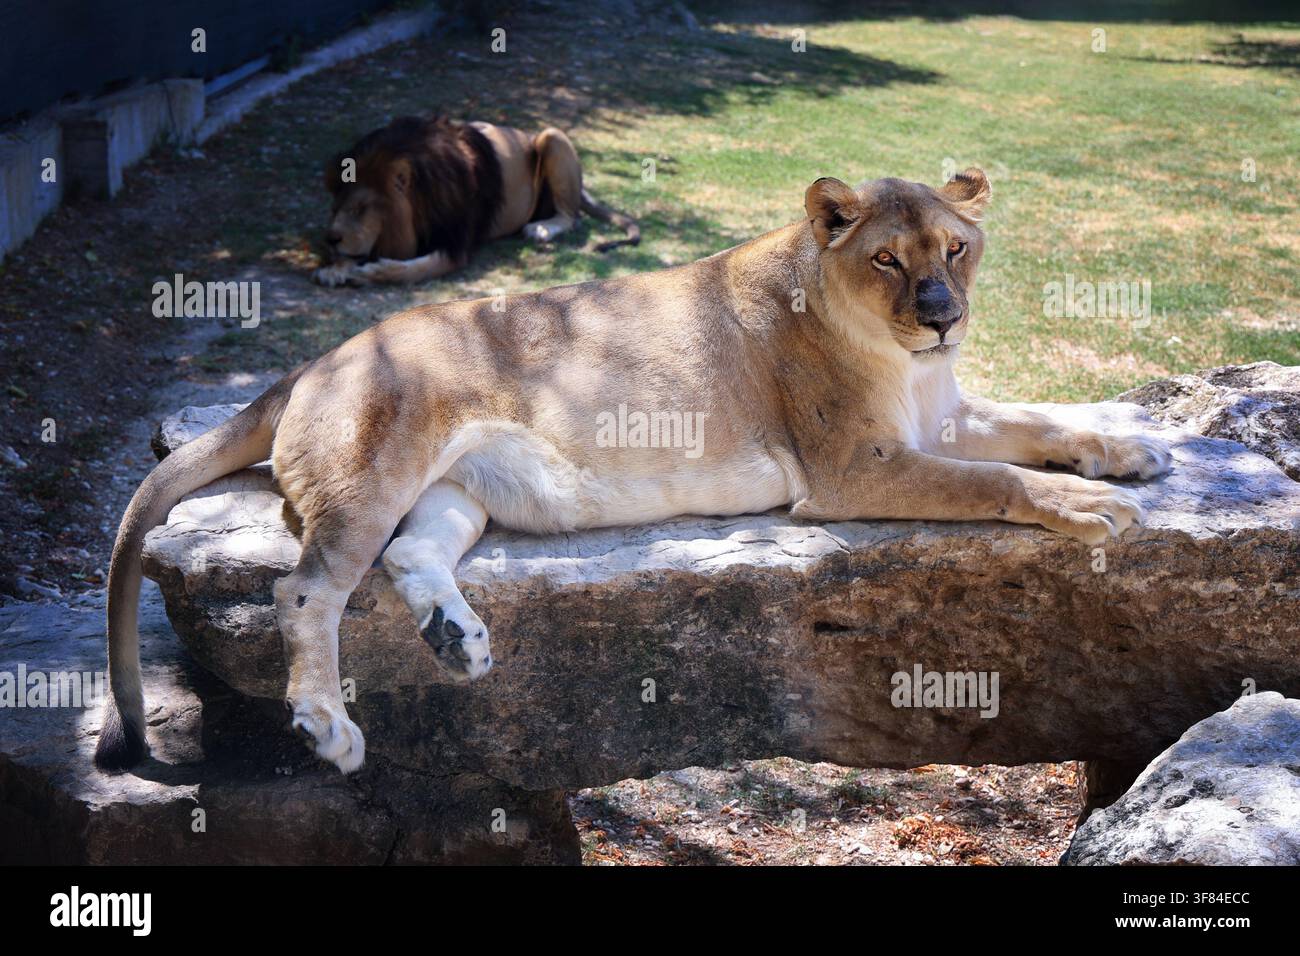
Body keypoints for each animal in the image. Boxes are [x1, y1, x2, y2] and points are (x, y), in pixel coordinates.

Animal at [97, 168, 1171, 774]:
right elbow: (999, 481)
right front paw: (1090, 506)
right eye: (889, 262)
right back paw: (327, 726)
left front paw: (1136, 451)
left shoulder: (945, 415)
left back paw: (458, 644)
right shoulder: (853, 469)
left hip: (458, 491)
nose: (944, 315)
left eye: (955, 248)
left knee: (408, 558)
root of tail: (313, 360)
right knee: (305, 588)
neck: (911, 364)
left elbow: (1037, 423)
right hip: (374, 472)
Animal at [312, 116, 639, 287]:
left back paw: (542, 228)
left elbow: (414, 269)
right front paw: (336, 268)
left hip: (552, 135)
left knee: (572, 217)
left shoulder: (456, 244)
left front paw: (375, 272)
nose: (330, 239)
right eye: (334, 209)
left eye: (360, 209)